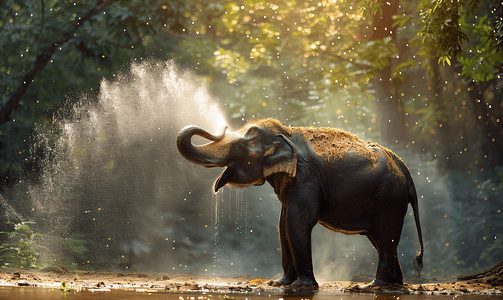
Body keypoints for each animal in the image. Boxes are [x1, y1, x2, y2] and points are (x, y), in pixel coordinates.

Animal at [175, 118, 424, 288]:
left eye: (238, 147)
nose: (223, 127)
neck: (287, 132)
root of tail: (405, 168)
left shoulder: (306, 178)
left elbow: (298, 221)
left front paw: (302, 286)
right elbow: (283, 224)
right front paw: (279, 283)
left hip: (389, 198)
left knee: (386, 235)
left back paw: (373, 286)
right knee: (381, 239)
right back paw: (394, 284)